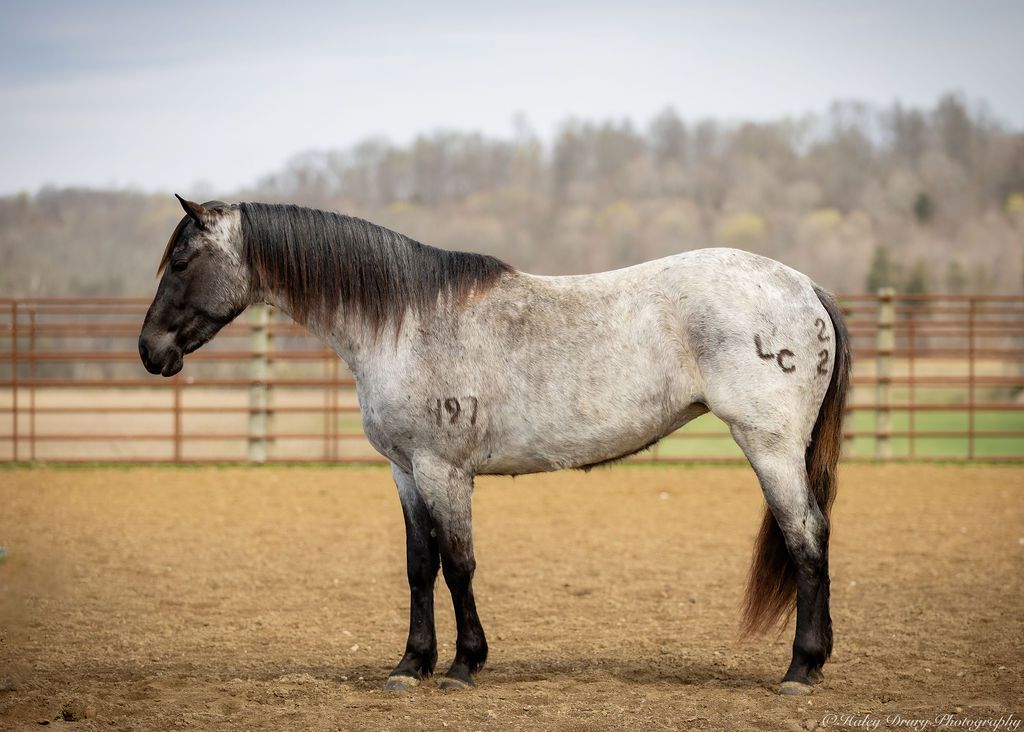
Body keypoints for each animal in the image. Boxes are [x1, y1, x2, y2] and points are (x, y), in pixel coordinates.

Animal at [139, 195, 850, 696]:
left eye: (182, 262)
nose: (151, 351)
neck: (407, 323)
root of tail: (804, 286)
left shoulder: (443, 471)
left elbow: (459, 564)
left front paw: (463, 666)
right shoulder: (405, 472)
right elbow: (419, 565)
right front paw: (410, 665)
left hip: (770, 447)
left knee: (807, 538)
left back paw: (801, 671)